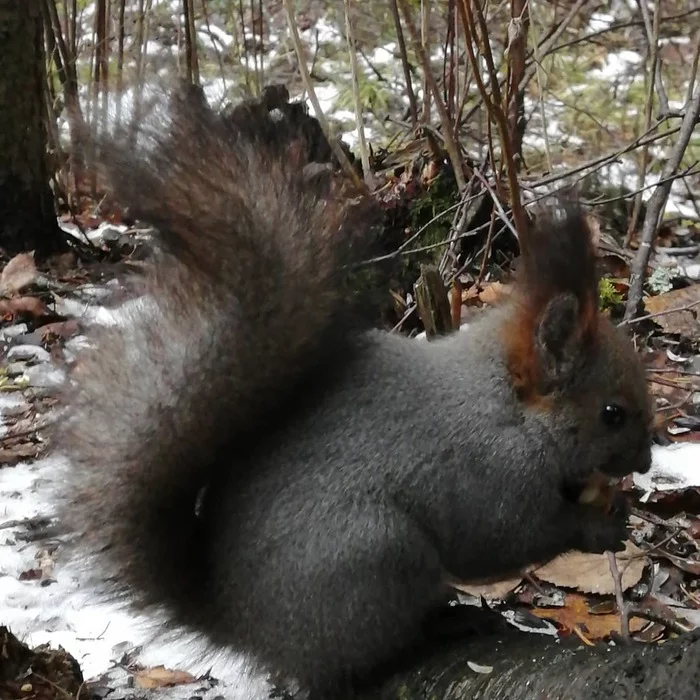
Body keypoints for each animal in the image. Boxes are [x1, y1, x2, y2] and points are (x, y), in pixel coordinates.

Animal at [50, 89, 656, 700]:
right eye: (612, 414)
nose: (648, 462)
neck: (507, 405)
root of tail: (248, 629)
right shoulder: (489, 475)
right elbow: (509, 538)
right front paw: (600, 525)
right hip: (377, 557)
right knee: (371, 657)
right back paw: (447, 626)